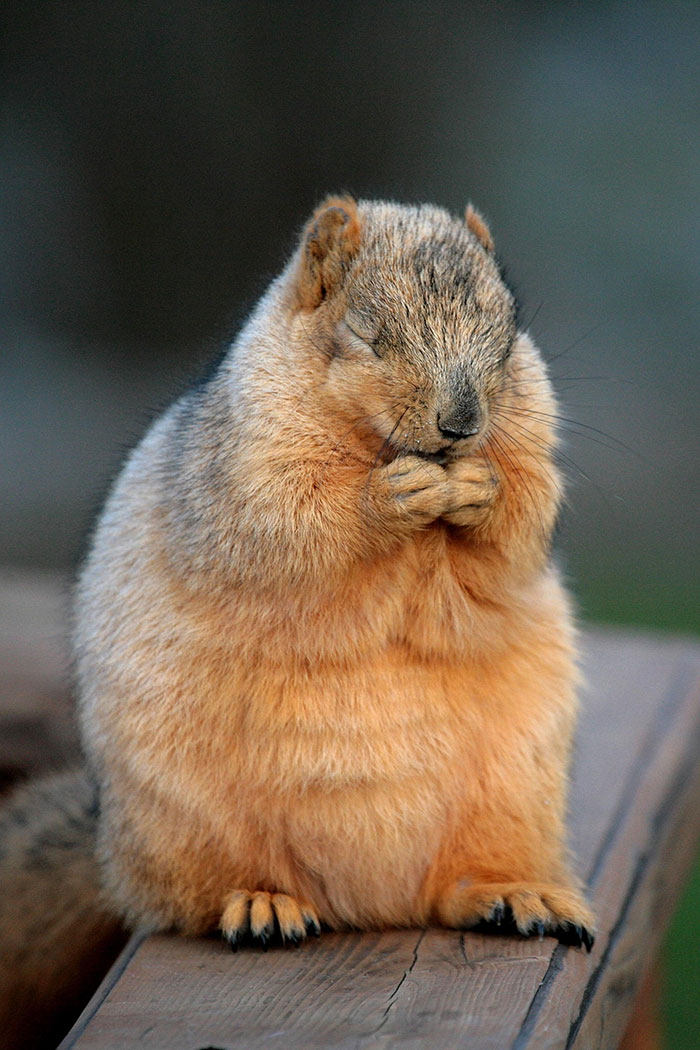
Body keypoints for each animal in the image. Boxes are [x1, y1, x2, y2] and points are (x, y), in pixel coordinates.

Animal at [1, 195, 594, 1037]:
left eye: (509, 339)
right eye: (369, 336)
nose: (462, 424)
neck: (381, 443)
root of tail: (372, 905)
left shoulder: (529, 433)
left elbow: (518, 527)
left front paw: (483, 492)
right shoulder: (251, 458)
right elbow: (294, 523)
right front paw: (388, 499)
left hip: (514, 793)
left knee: (450, 889)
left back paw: (511, 894)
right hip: (188, 821)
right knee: (190, 900)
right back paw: (260, 904)